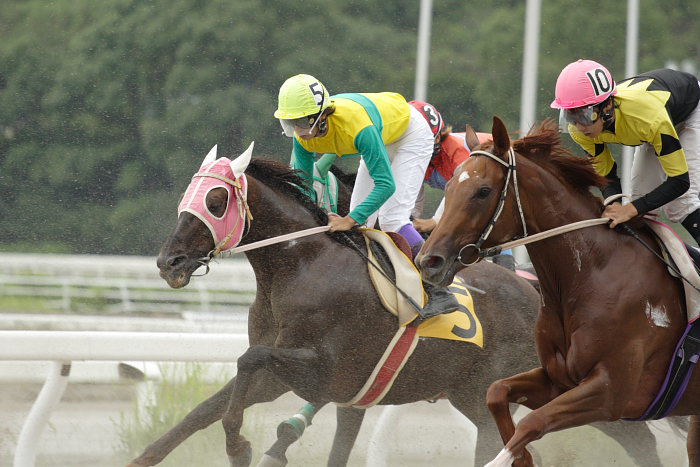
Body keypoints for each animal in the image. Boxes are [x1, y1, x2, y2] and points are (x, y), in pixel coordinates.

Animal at [129, 144, 680, 466]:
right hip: (480, 397)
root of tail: (539, 292)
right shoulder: (288, 380)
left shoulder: (323, 371)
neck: (298, 266)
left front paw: (240, 448)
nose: (167, 261)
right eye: (189, 195)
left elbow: (249, 361)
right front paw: (150, 456)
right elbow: (204, 410)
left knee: (635, 437)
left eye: (216, 200)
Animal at [416, 118, 700, 467]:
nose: (429, 261)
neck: (591, 274)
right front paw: (523, 458)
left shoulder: (611, 393)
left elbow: (532, 422)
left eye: (483, 192)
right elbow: (496, 392)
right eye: (449, 187)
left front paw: (508, 458)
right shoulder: (559, 379)